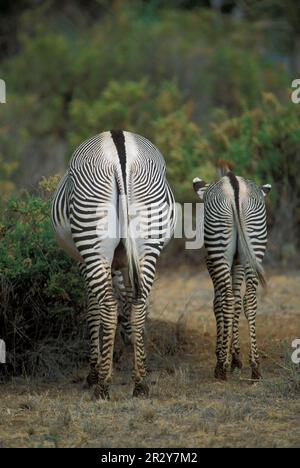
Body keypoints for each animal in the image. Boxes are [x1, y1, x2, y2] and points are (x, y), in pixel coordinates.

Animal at [51, 131, 176, 398]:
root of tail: (120, 147)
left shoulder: (83, 262)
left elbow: (92, 310)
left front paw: (94, 371)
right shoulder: (124, 261)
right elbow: (127, 301)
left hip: (92, 241)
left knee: (107, 308)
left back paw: (102, 385)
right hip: (148, 238)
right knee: (138, 304)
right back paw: (140, 383)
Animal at [192, 165, 272, 380]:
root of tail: (234, 183)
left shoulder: (211, 262)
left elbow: (218, 303)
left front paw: (224, 356)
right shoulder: (238, 263)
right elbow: (237, 302)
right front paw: (235, 357)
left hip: (219, 248)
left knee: (227, 300)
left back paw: (221, 368)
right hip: (254, 244)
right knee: (249, 300)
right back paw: (255, 367)